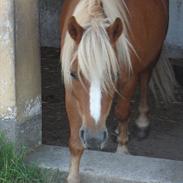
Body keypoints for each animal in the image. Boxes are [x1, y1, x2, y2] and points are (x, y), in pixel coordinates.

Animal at [60, 0, 176, 182]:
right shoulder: (70, 91)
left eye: (114, 74)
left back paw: (142, 122)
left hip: (152, 57)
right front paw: (73, 175)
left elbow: (122, 112)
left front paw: (122, 149)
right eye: (73, 74)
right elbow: (75, 139)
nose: (94, 138)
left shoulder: (129, 79)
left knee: (145, 81)